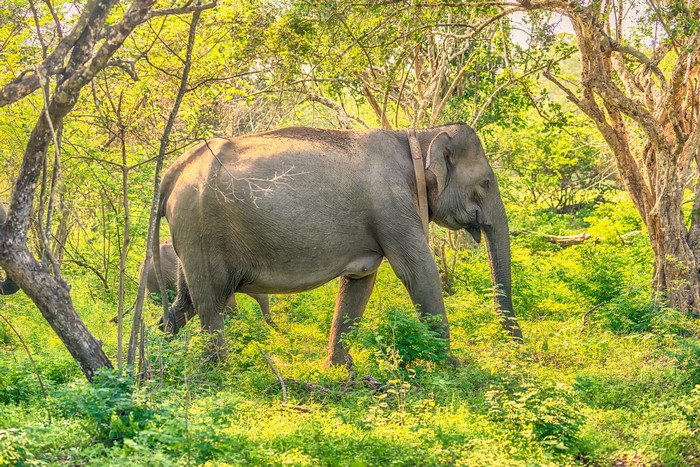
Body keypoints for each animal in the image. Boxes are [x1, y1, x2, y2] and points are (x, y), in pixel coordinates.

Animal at [156, 123, 522, 364]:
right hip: (200, 229)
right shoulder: (392, 206)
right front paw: (452, 368)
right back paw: (220, 372)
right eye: (486, 182)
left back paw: (157, 366)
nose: (518, 346)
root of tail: (175, 169)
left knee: (185, 303)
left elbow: (360, 281)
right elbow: (418, 272)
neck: (417, 135)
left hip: (189, 238)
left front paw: (339, 370)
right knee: (210, 303)